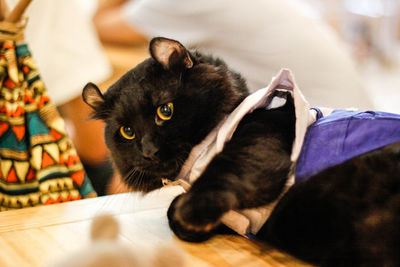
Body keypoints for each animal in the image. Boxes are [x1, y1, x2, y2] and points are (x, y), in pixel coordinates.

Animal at [83, 36, 400, 266]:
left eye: (165, 110)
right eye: (127, 132)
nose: (148, 150)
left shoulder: (264, 131)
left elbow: (224, 169)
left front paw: (191, 211)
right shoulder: (241, 220)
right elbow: (177, 211)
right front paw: (190, 221)